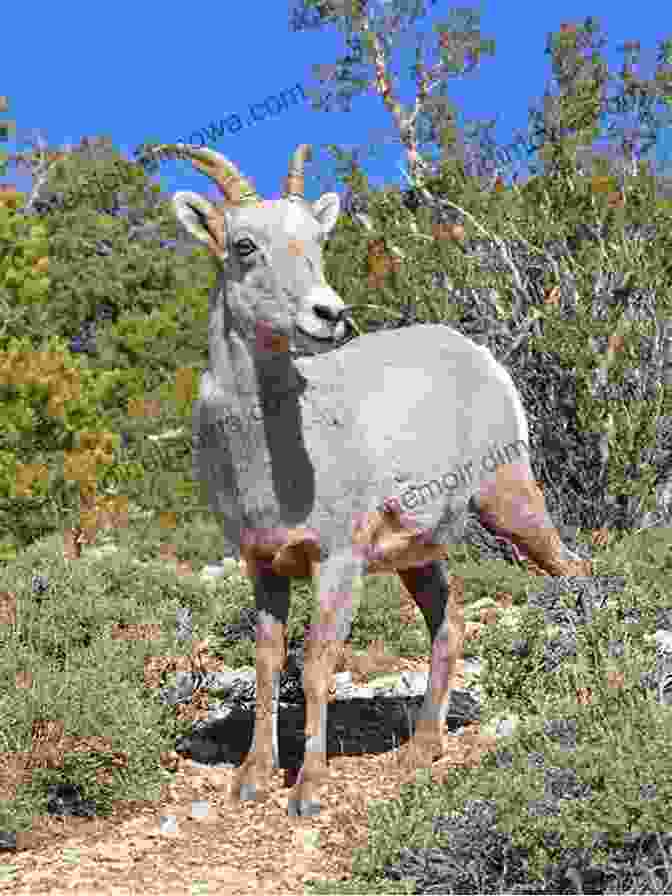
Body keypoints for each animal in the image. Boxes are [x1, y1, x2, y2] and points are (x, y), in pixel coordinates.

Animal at [150, 142, 592, 820]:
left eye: (317, 239)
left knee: (574, 572)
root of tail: (478, 356)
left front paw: (307, 792)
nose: (329, 313)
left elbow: (315, 666)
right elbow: (268, 663)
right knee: (450, 624)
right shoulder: (262, 565)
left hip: (511, 501)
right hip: (419, 555)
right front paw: (253, 780)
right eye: (244, 245)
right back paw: (421, 751)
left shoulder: (338, 561)